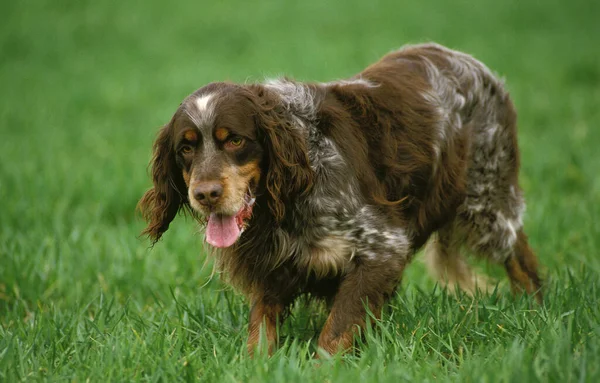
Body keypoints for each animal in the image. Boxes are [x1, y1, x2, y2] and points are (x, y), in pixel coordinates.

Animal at [138, 44, 540, 356]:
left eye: (235, 140)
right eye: (186, 148)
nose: (206, 194)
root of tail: (473, 63)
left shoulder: (382, 248)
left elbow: (334, 334)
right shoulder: (273, 265)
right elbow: (260, 331)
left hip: (487, 199)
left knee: (521, 259)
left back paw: (535, 310)